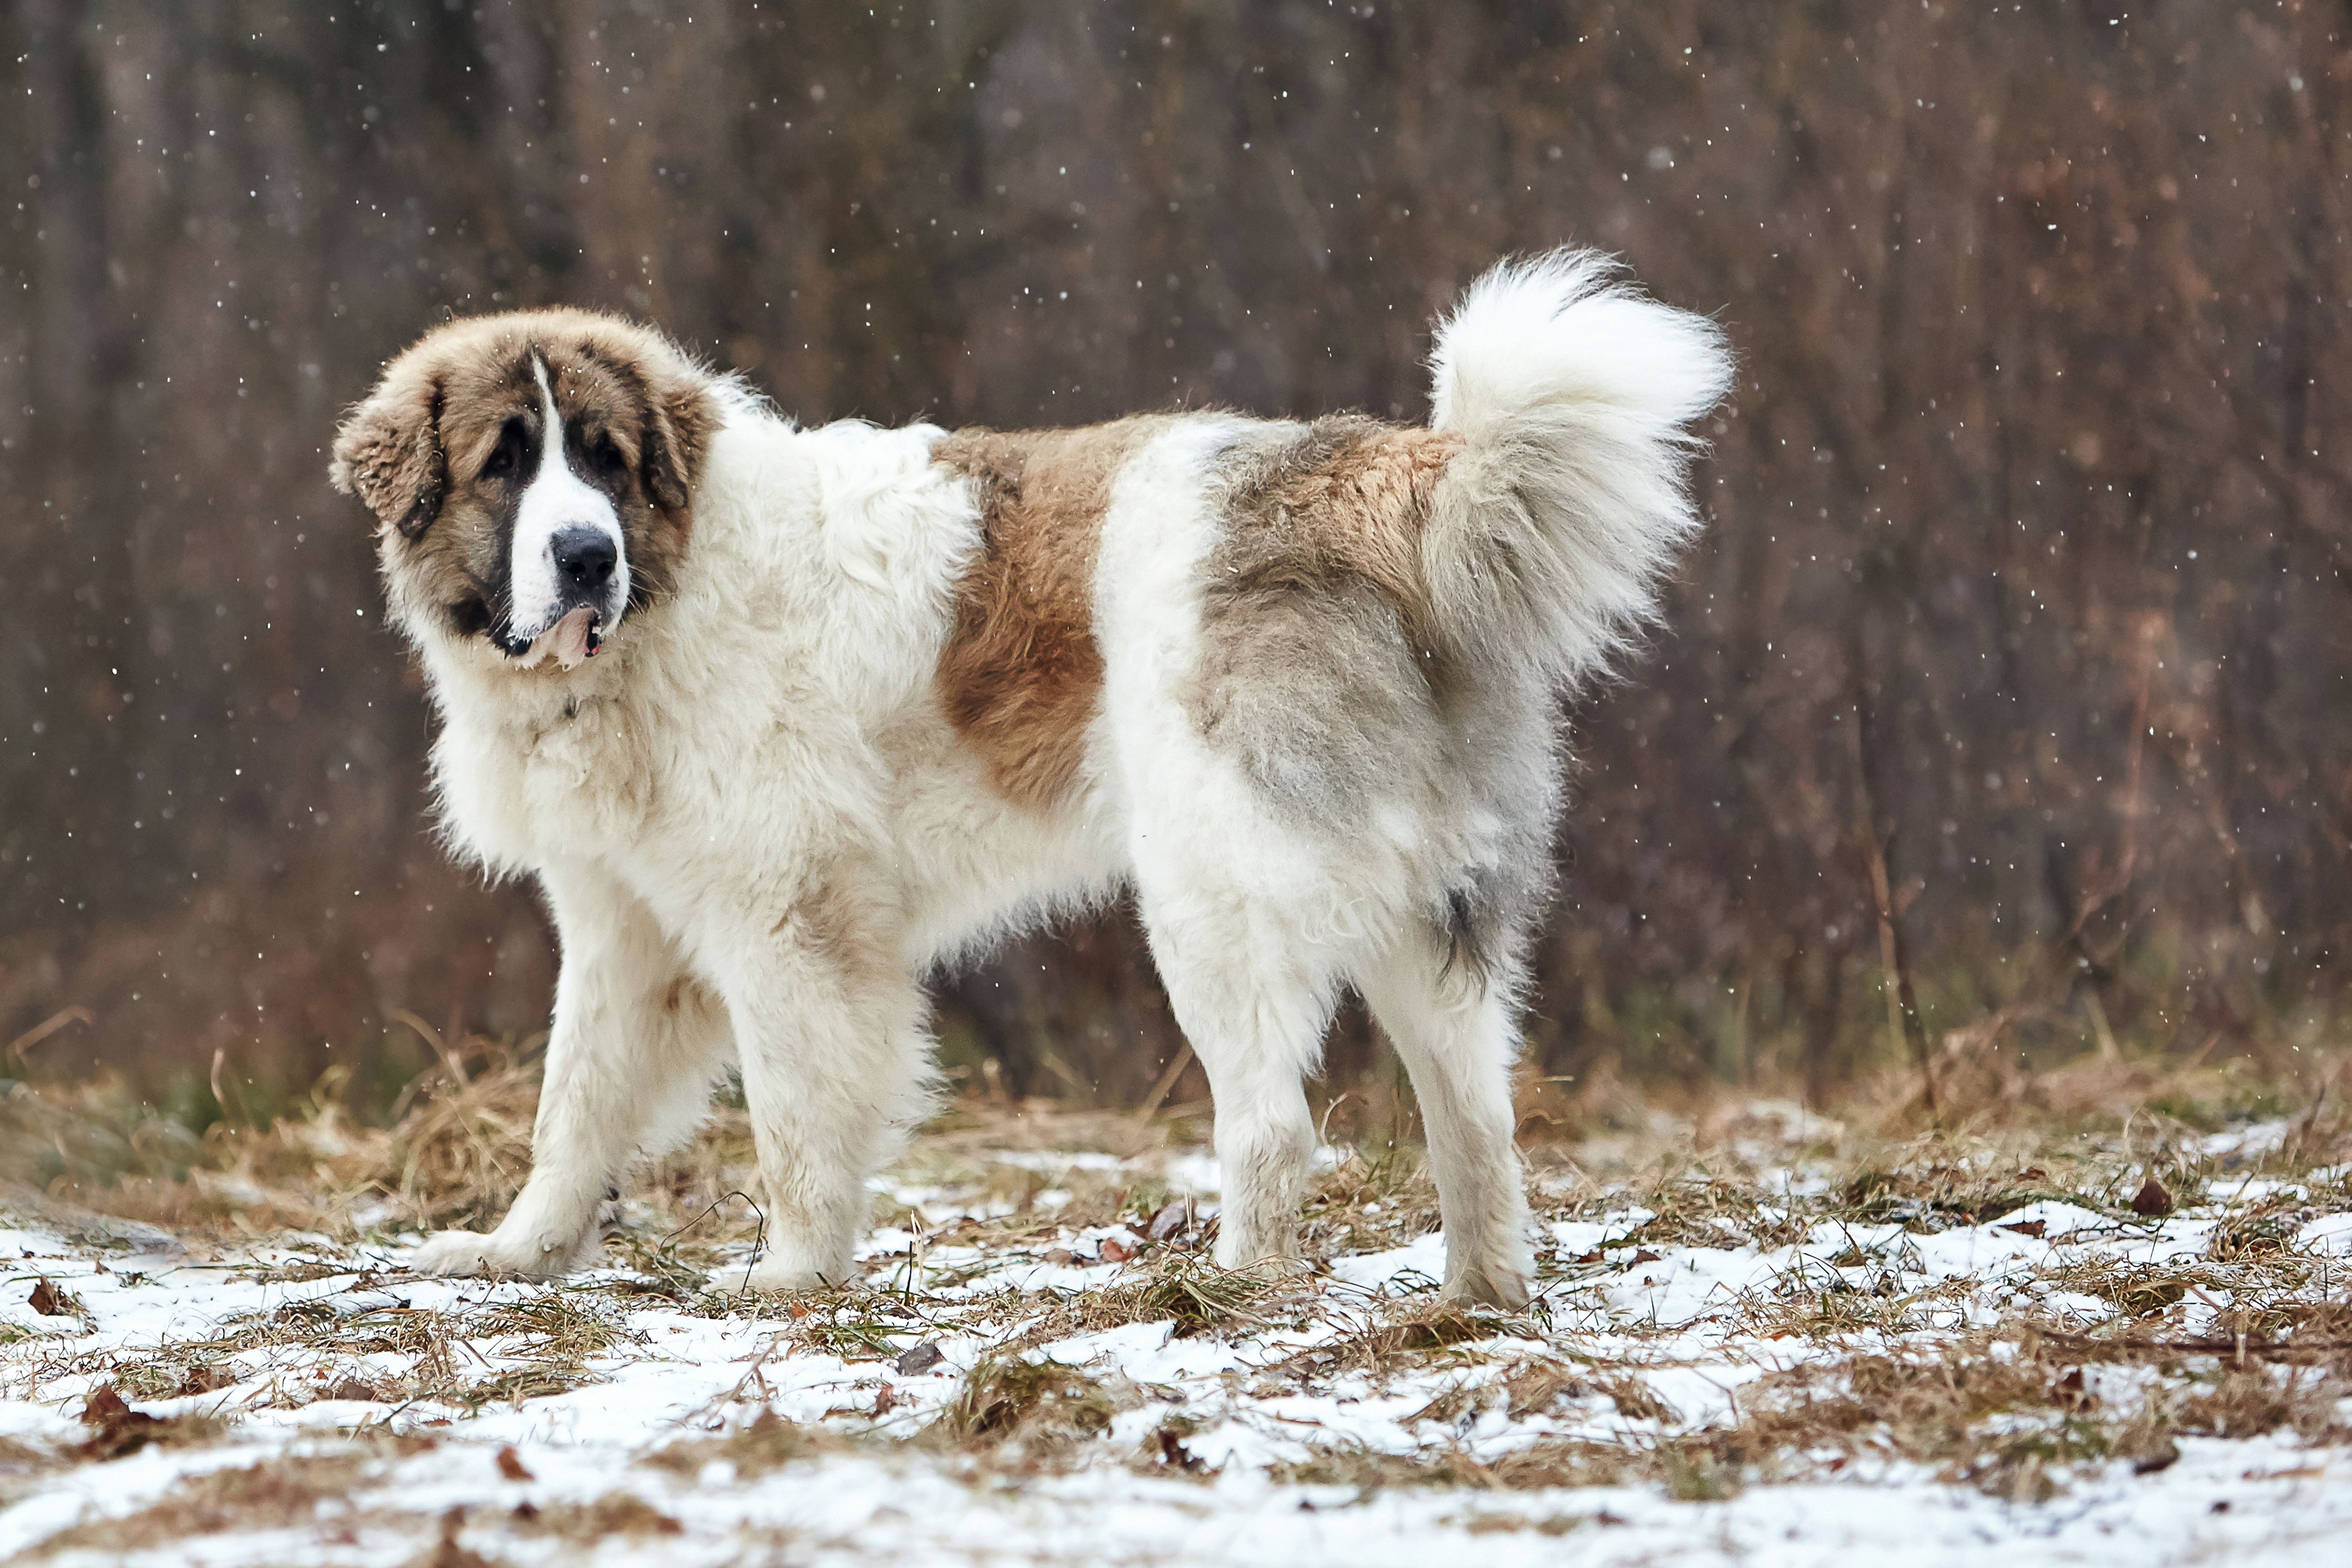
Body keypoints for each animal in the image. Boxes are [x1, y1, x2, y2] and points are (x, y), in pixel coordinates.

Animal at [332, 252, 1731, 1307]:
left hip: (1214, 899)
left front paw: (790, 1278)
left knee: (1275, 1123)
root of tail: (1354, 472)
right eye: (507, 463)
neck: (666, 600)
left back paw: (1226, 1287)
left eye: (607, 459)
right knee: (1478, 1120)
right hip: (1422, 911)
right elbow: (575, 1103)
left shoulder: (790, 918)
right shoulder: (623, 926)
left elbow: (795, 1114)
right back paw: (1478, 1297)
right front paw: (517, 1252)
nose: (583, 556)